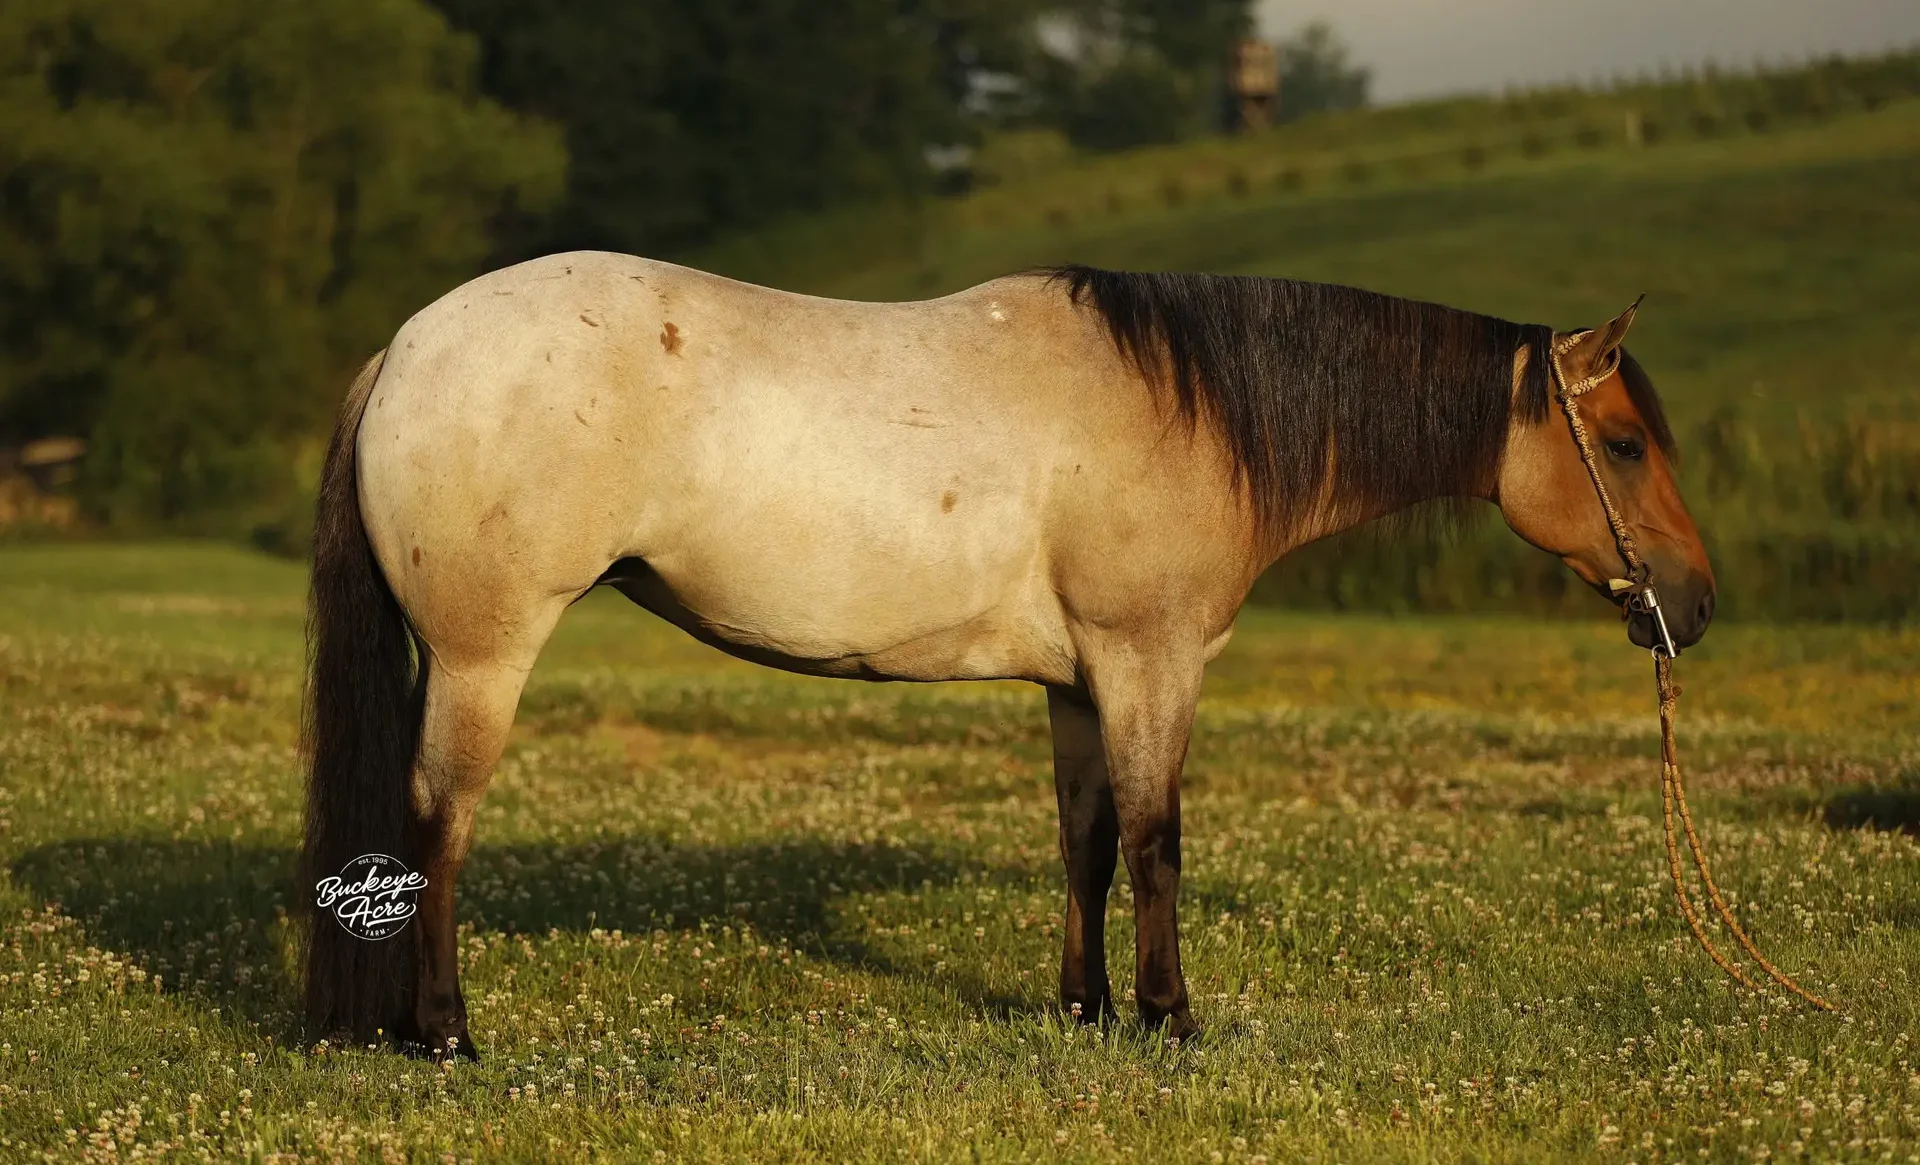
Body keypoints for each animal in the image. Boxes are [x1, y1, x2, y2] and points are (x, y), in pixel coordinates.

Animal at [301, 253, 1714, 1059]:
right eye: (1627, 443)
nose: (1692, 605)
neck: (1187, 405)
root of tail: (409, 347)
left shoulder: (1079, 684)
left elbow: (1085, 843)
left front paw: (1084, 1009)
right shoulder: (1150, 665)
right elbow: (1156, 839)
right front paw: (1170, 1017)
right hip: (482, 657)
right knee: (437, 824)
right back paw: (443, 1033)